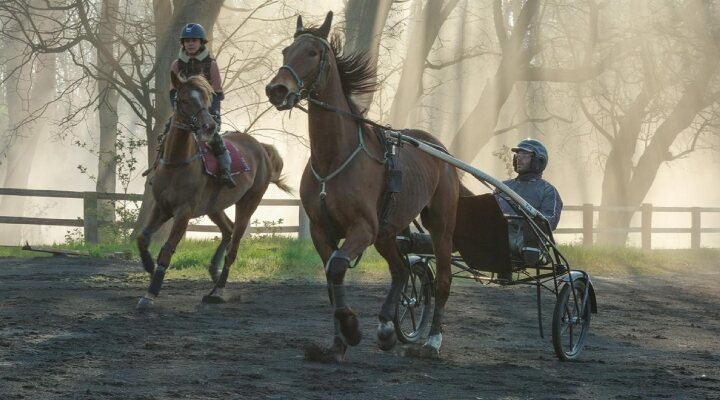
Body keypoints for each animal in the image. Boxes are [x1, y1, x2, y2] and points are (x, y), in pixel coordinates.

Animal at [136, 72, 292, 310]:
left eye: (206, 99)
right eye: (184, 100)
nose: (209, 126)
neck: (177, 163)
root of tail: (261, 148)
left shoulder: (183, 212)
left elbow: (167, 249)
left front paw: (151, 292)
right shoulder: (161, 207)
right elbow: (142, 238)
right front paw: (149, 267)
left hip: (249, 202)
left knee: (233, 245)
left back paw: (217, 290)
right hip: (214, 207)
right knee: (227, 230)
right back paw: (214, 272)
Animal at [266, 11, 462, 360]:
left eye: (312, 52)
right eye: (286, 51)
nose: (276, 89)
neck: (333, 160)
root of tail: (438, 148)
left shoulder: (363, 228)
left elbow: (337, 267)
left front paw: (352, 328)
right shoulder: (322, 230)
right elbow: (332, 277)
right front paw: (338, 342)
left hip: (439, 224)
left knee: (442, 279)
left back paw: (432, 341)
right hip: (387, 230)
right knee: (400, 270)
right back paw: (387, 327)